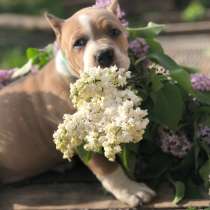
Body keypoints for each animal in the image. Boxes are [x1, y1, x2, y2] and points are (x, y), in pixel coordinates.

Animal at [0, 0, 155, 207]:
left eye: (114, 31)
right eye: (79, 43)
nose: (104, 54)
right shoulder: (83, 135)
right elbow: (107, 167)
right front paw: (130, 190)